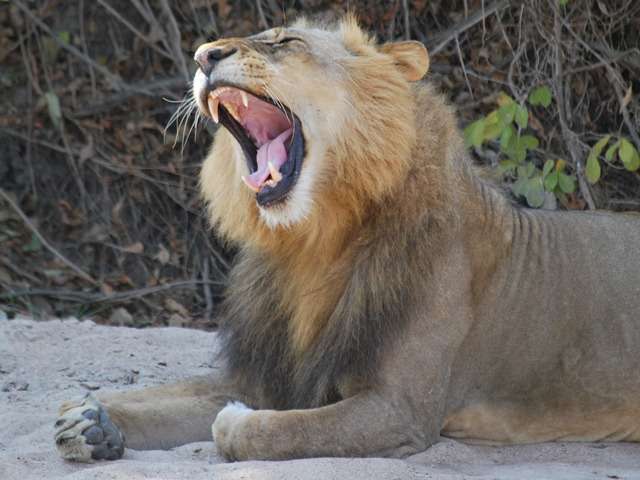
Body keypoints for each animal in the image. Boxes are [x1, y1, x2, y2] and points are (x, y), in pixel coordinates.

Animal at [52, 16, 640, 464]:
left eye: (286, 42)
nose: (203, 55)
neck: (312, 243)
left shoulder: (399, 410)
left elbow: (272, 430)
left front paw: (234, 422)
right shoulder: (273, 375)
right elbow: (168, 396)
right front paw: (90, 419)